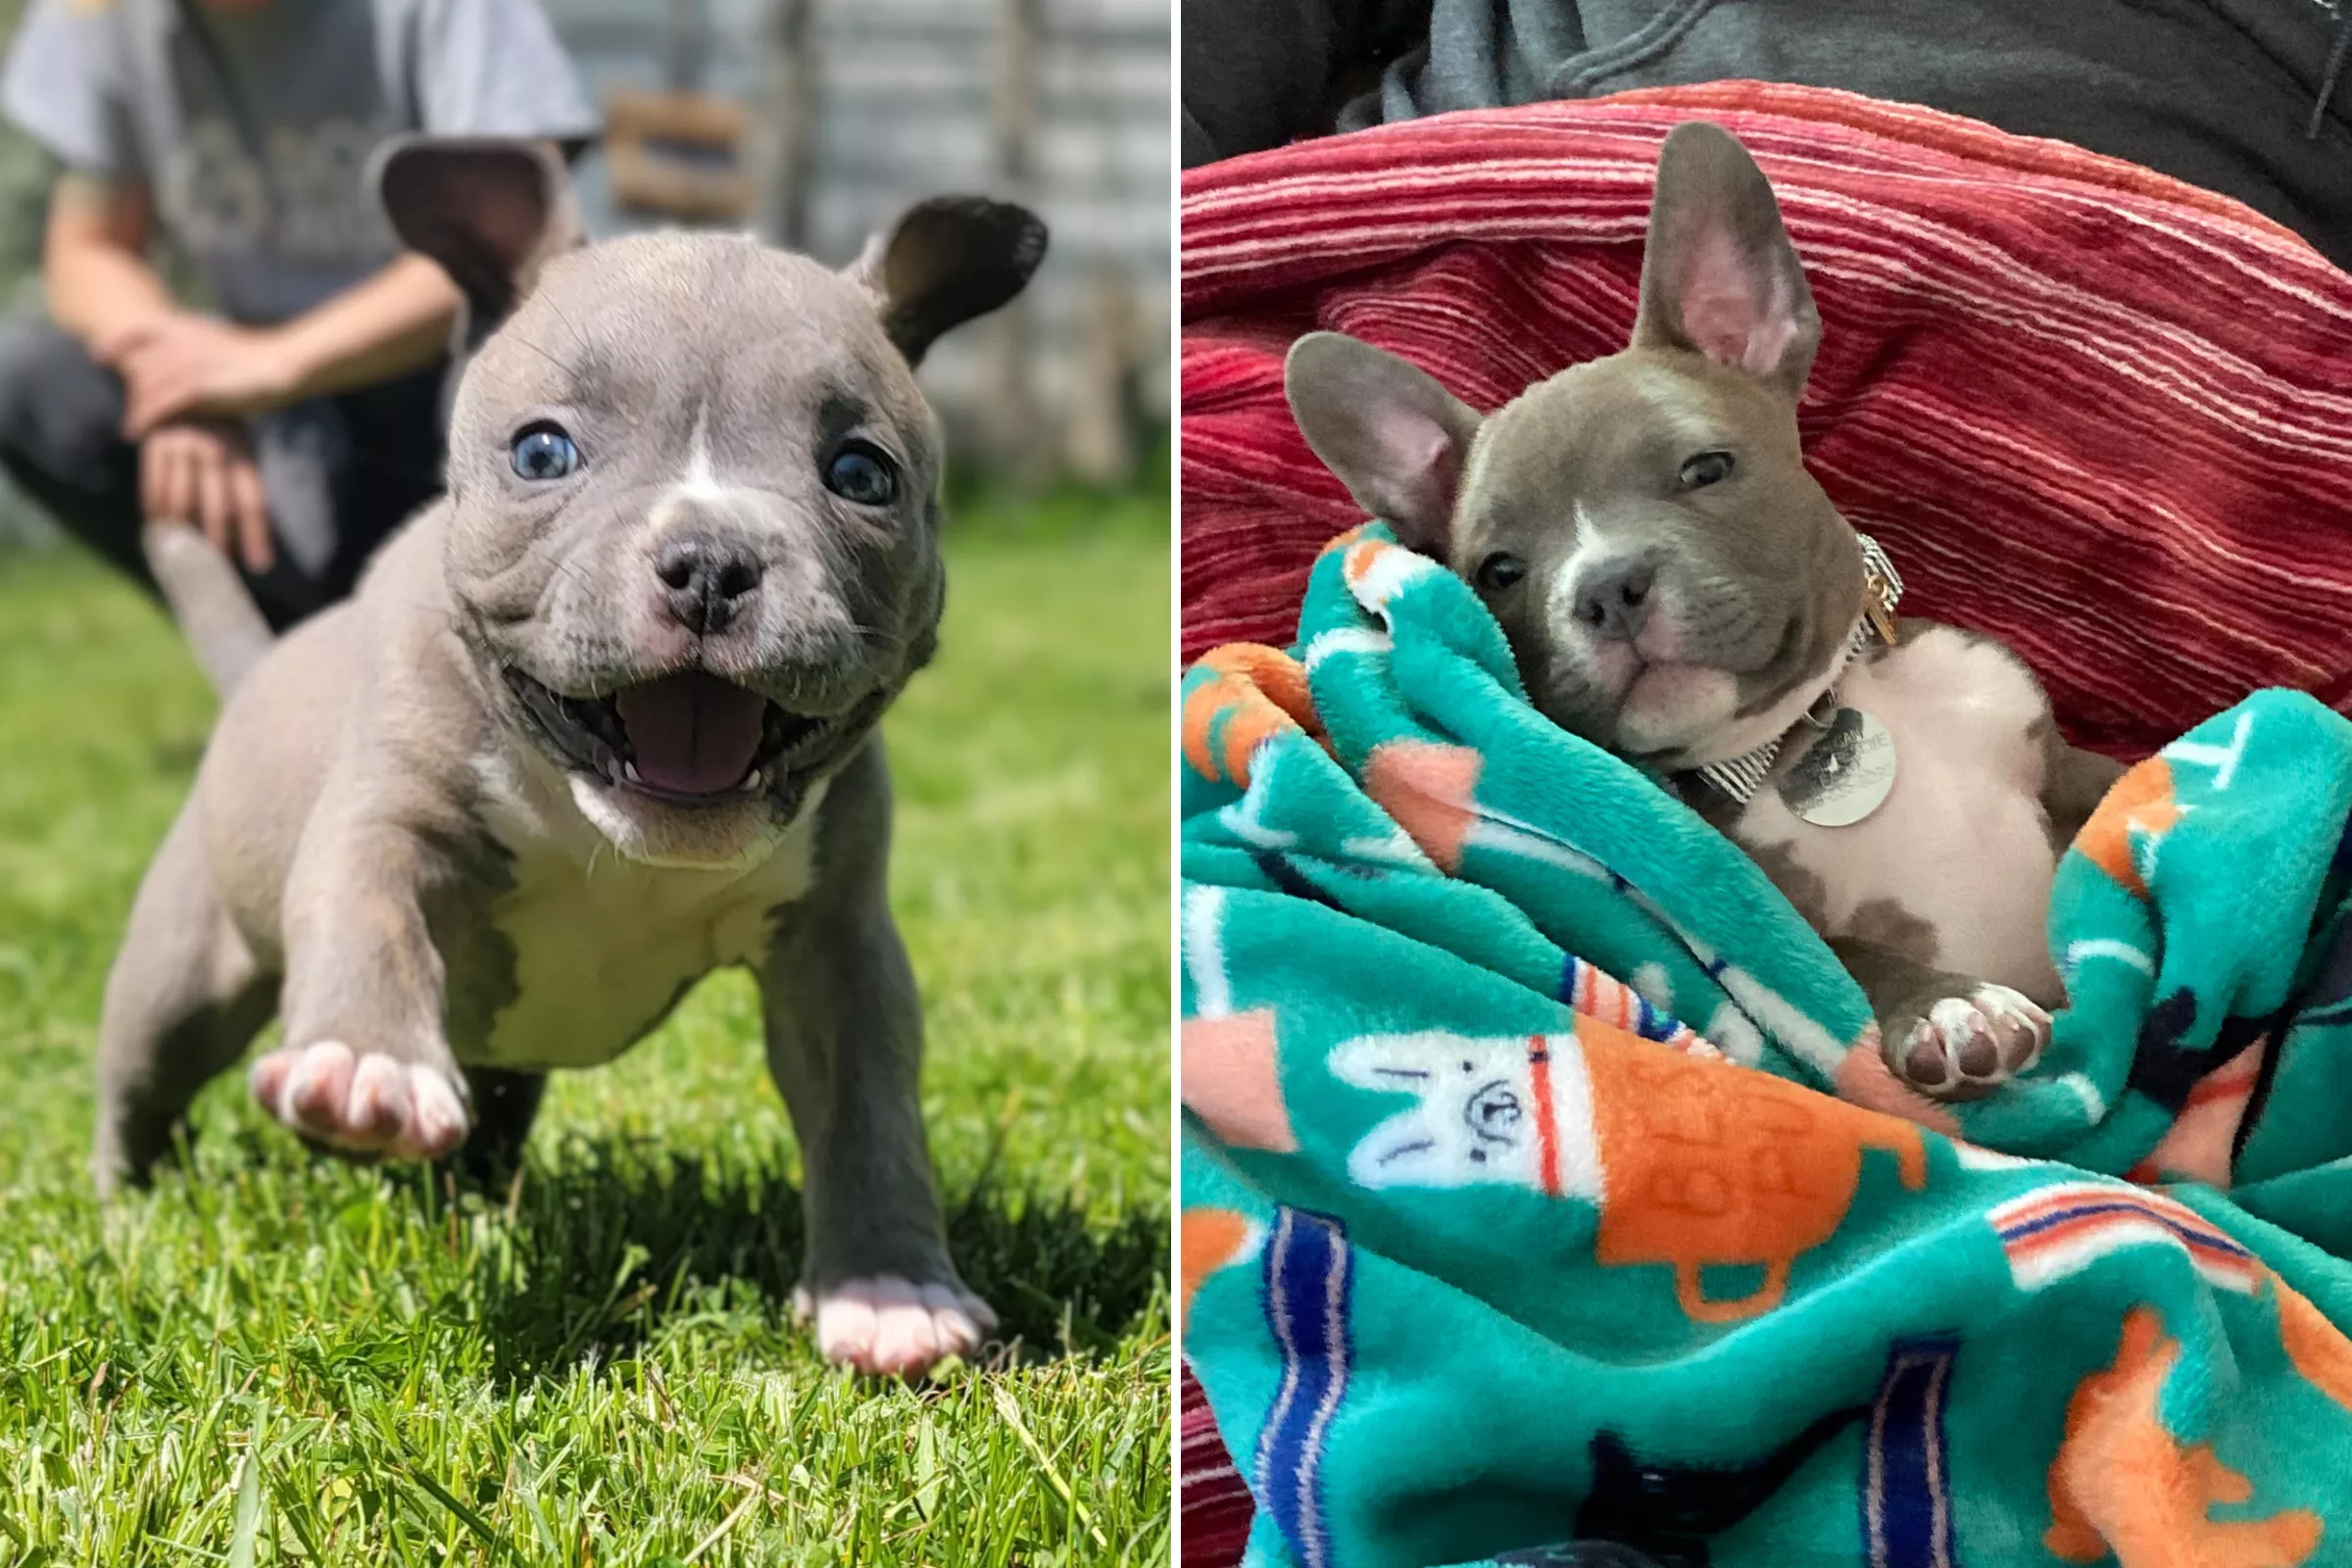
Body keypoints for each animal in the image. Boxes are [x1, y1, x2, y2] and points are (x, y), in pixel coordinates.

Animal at [1279, 122, 2126, 1104]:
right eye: (1499, 571)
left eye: (1706, 469)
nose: (1606, 586)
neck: (1804, 724)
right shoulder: (1765, 925)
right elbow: (1847, 960)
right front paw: (1949, 1005)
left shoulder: (2048, 751)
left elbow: (2126, 790)